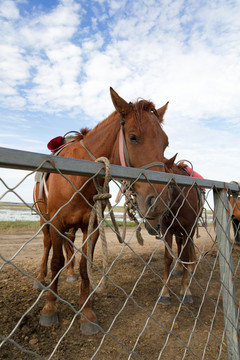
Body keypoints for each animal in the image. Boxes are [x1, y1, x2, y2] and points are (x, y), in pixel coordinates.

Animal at [33, 87, 170, 334]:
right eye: (133, 137)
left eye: (165, 143)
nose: (160, 201)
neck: (79, 175)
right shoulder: (56, 222)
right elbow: (56, 262)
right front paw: (49, 308)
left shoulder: (93, 226)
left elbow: (85, 265)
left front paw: (86, 313)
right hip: (44, 220)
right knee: (48, 245)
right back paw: (40, 277)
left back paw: (70, 274)